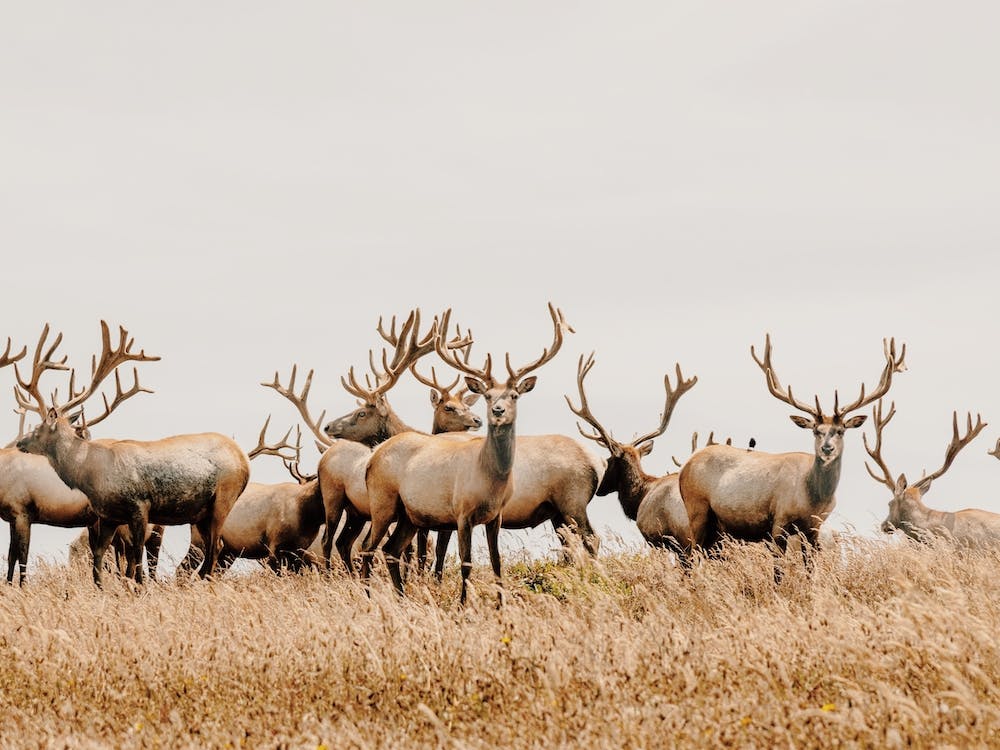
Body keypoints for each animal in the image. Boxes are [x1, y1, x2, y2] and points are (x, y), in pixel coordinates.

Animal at [15, 321, 250, 585]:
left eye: (38, 429)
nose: (20, 442)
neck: (91, 474)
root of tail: (244, 459)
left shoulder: (140, 504)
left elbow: (136, 555)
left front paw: (138, 587)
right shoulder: (109, 516)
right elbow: (100, 555)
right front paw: (101, 587)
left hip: (224, 496)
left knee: (214, 547)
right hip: (200, 513)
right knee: (211, 548)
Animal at [361, 303, 571, 604]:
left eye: (514, 395)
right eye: (487, 396)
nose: (497, 411)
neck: (490, 480)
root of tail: (372, 458)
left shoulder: (496, 515)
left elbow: (496, 561)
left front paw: (500, 605)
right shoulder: (461, 512)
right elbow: (466, 561)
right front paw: (463, 604)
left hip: (409, 513)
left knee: (391, 550)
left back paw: (402, 598)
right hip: (382, 500)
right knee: (368, 548)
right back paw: (368, 598)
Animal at [679, 334, 907, 568]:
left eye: (841, 431)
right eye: (816, 430)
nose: (827, 448)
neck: (812, 499)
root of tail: (686, 465)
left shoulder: (813, 529)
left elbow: (810, 568)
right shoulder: (779, 520)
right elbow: (778, 568)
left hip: (717, 528)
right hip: (697, 509)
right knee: (691, 556)